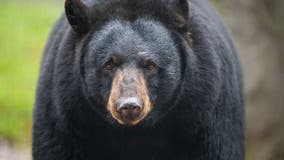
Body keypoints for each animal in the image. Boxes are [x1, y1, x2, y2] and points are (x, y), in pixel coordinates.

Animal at [33, 0, 245, 159]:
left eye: (150, 65)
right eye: (109, 64)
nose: (129, 106)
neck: (136, 133)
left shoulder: (202, 115)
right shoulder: (68, 116)